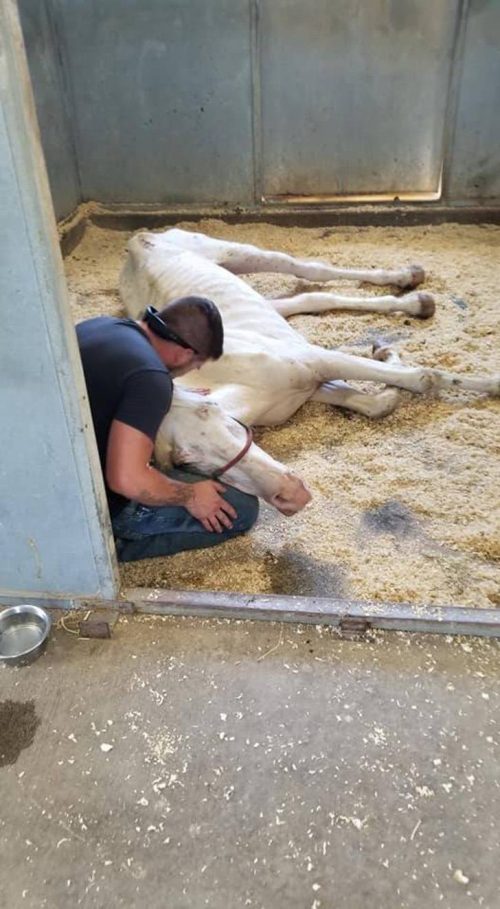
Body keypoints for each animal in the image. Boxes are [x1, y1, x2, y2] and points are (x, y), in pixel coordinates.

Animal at [121, 227, 500, 516]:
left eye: (212, 411)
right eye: (184, 462)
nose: (291, 494)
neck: (246, 385)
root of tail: (137, 240)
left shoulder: (316, 361)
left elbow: (422, 377)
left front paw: (492, 383)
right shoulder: (311, 383)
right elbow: (377, 402)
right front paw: (387, 356)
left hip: (235, 252)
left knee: (313, 270)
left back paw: (411, 282)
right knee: (310, 299)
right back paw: (416, 302)